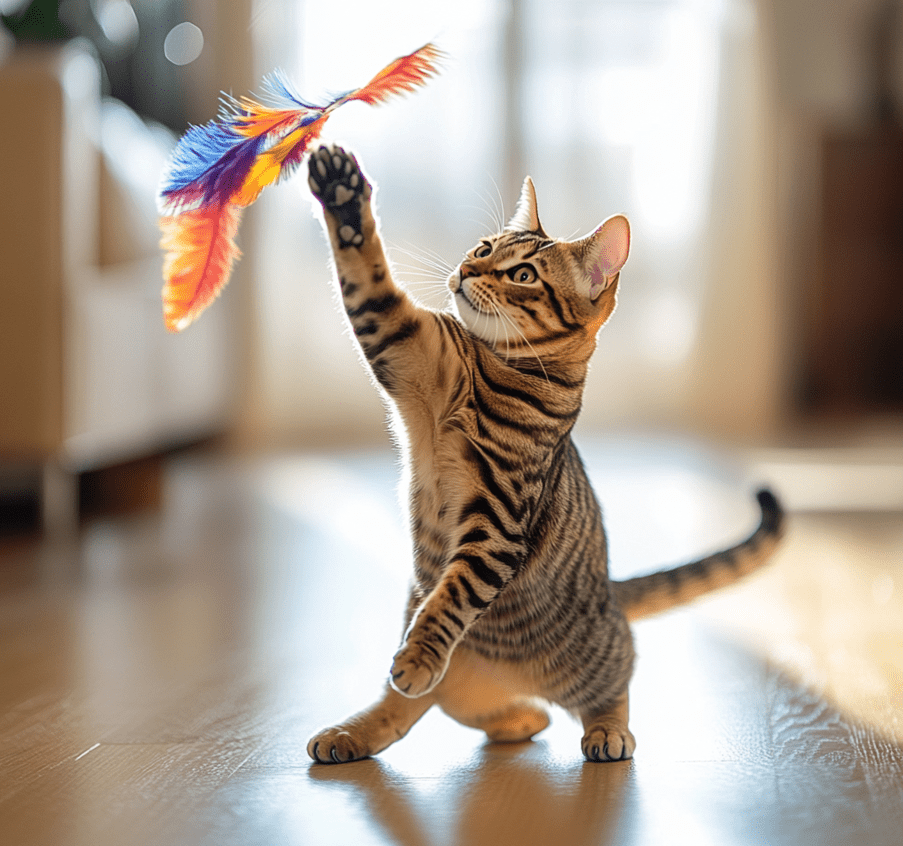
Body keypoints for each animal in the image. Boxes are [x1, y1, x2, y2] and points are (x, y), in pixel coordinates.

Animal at [306, 142, 784, 764]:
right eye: (484, 248)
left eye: (523, 274)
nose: (467, 270)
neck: (489, 370)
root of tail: (611, 594)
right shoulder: (401, 341)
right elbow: (367, 278)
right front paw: (341, 194)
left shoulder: (498, 525)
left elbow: (451, 598)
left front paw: (420, 654)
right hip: (458, 683)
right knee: (428, 710)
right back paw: (366, 731)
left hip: (590, 659)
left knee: (614, 679)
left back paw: (605, 731)